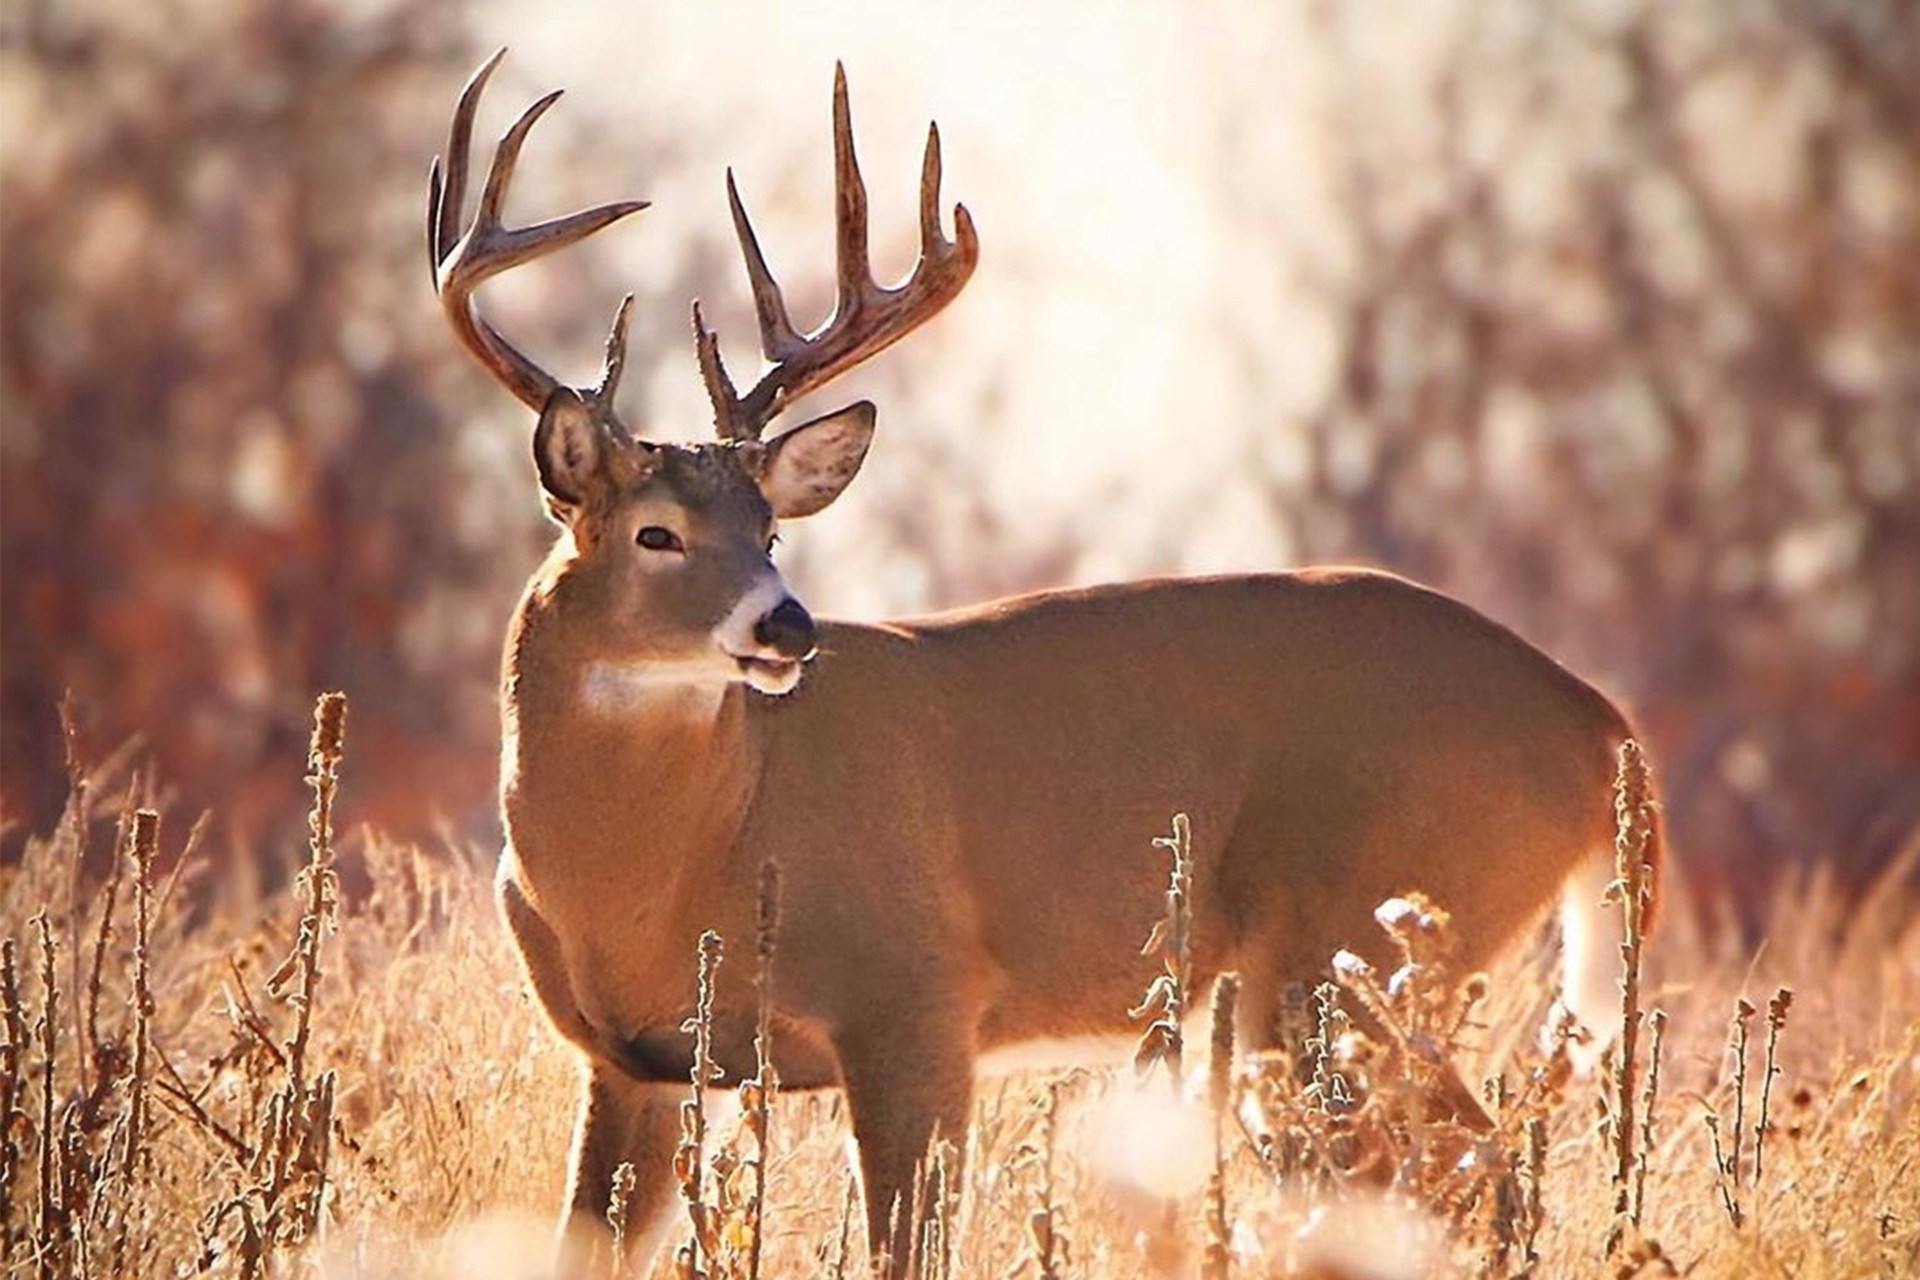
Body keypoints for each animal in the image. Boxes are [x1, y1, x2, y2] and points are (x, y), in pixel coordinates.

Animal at [428, 50, 1658, 1280]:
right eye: (657, 533)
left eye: (768, 530)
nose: (789, 626)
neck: (671, 865)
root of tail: (1599, 719)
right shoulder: (631, 1057)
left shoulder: (919, 996)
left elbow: (909, 1245)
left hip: (1362, 947)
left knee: (1478, 1176)